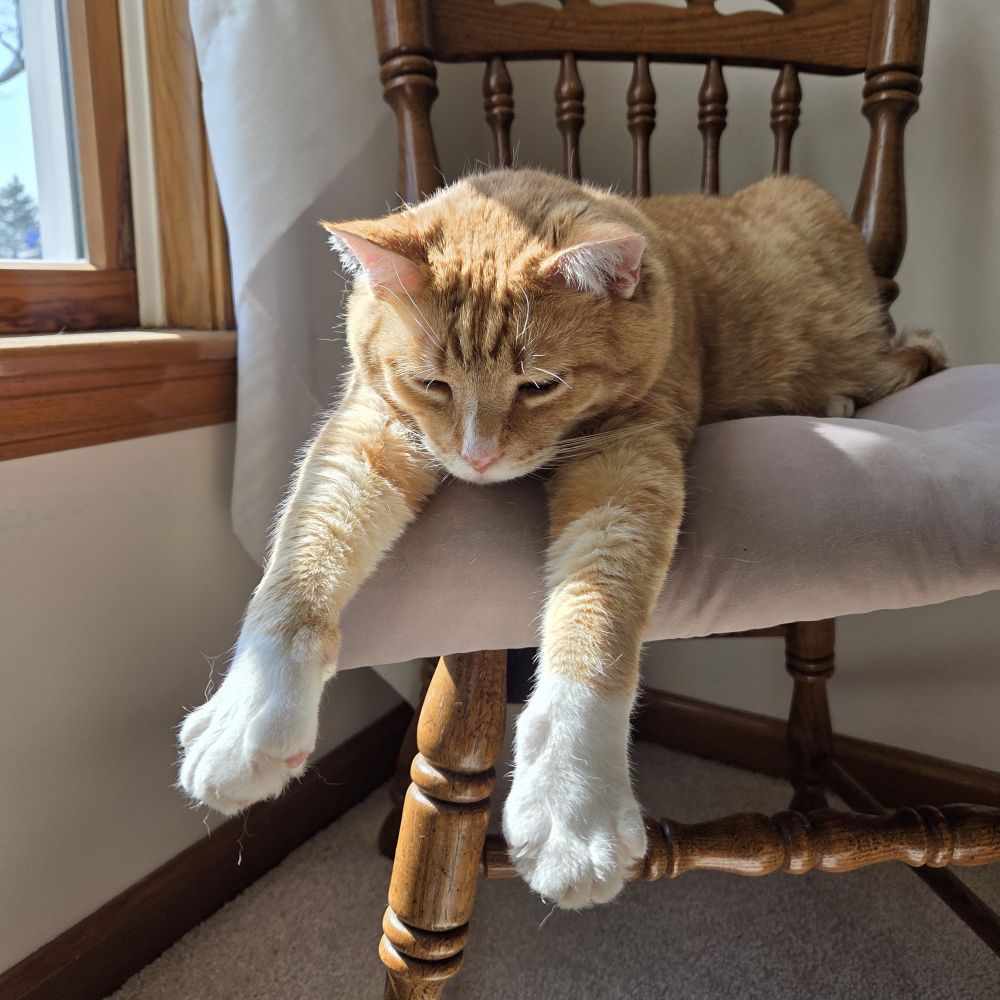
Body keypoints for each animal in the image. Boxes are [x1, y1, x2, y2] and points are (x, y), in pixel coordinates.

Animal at [178, 170, 936, 908]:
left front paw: (573, 800)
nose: (478, 457)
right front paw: (246, 714)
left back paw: (837, 397)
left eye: (539, 385)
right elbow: (301, 558)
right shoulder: (370, 426)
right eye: (431, 383)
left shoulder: (626, 461)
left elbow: (596, 620)